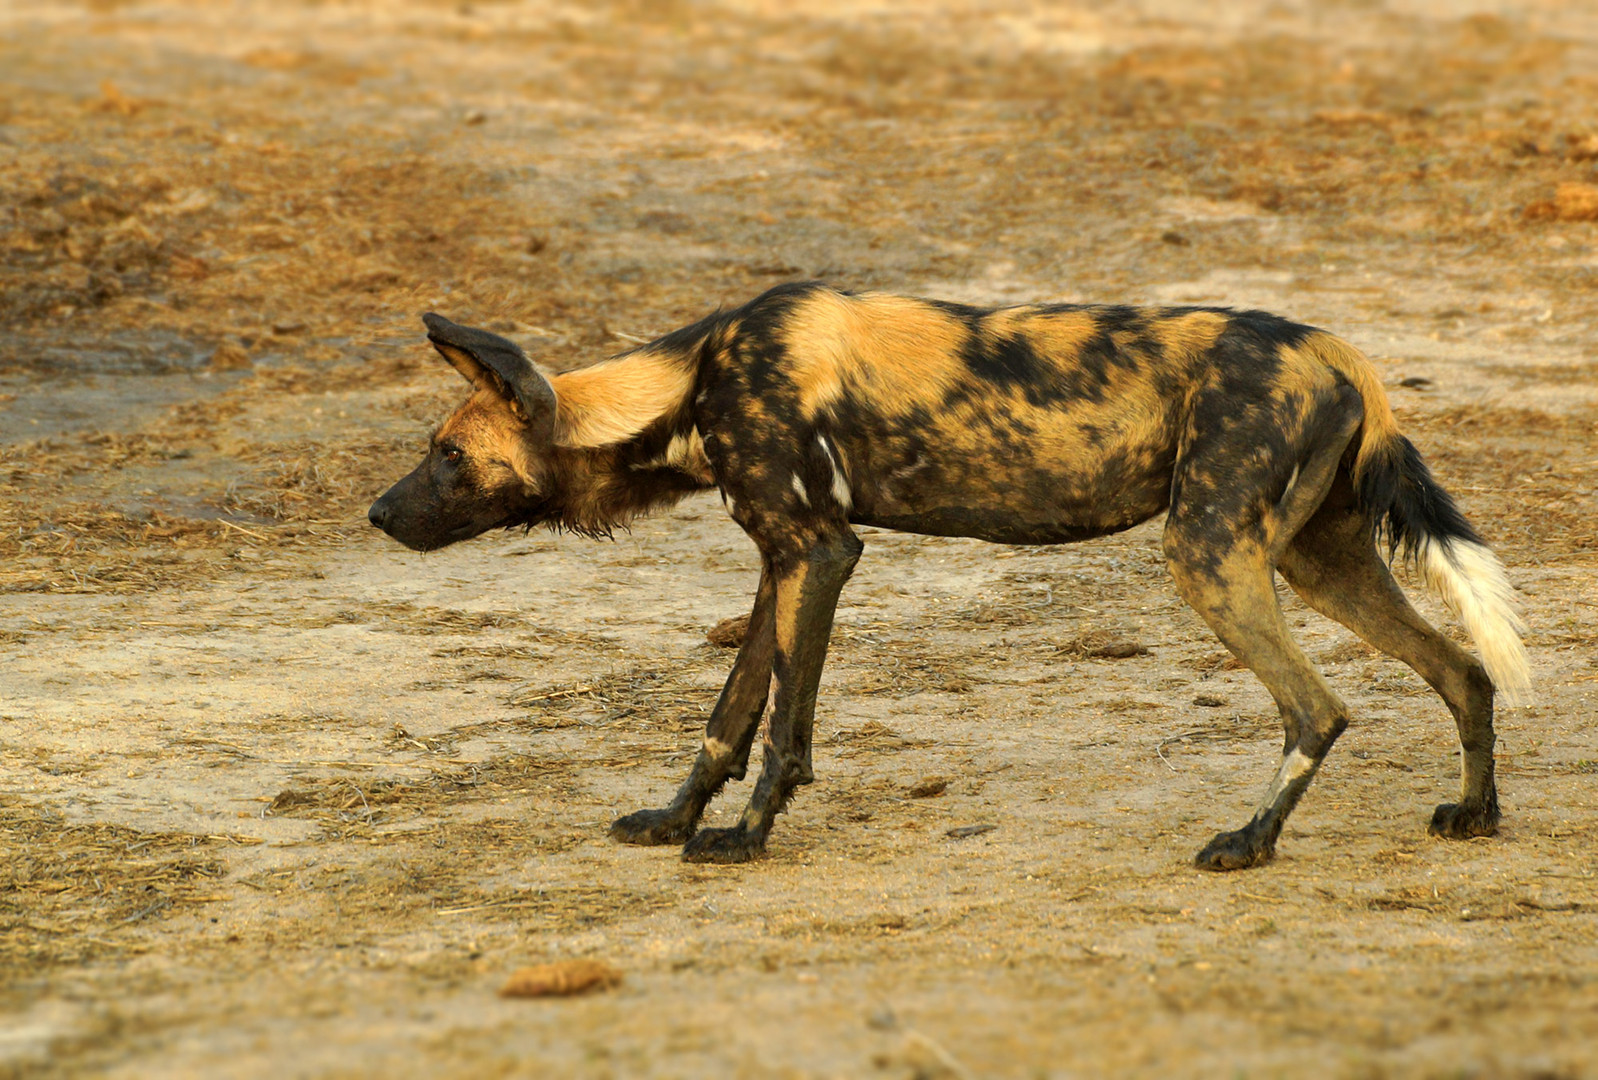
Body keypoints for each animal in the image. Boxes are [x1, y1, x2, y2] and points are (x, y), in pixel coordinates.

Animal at [367, 281, 1527, 869]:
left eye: (449, 456)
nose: (376, 514)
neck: (692, 380)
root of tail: (1336, 350)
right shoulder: (781, 559)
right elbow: (728, 716)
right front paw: (672, 820)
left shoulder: (820, 554)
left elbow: (784, 729)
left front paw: (743, 838)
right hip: (1311, 559)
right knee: (1462, 671)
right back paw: (1473, 816)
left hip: (1206, 556)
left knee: (1317, 708)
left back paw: (1250, 841)